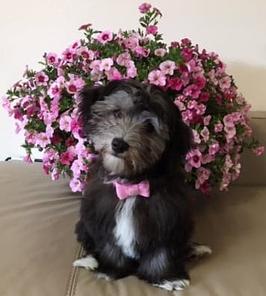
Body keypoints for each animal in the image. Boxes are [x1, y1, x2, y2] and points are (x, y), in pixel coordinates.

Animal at [74, 79, 211, 292]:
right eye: (117, 113)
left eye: (149, 127)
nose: (119, 144)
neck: (132, 183)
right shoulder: (103, 216)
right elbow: (110, 247)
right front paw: (111, 270)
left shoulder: (167, 217)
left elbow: (161, 252)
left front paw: (166, 277)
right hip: (84, 224)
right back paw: (88, 260)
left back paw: (195, 249)